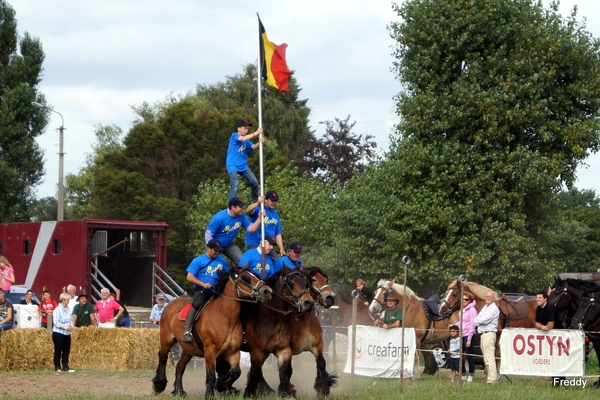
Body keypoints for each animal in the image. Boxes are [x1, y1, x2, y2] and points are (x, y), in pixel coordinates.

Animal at [152, 266, 272, 400]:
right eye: (246, 278)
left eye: (256, 275)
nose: (267, 291)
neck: (224, 316)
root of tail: (170, 304)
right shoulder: (210, 351)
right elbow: (210, 375)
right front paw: (210, 393)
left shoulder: (233, 351)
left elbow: (236, 372)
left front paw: (221, 385)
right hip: (167, 340)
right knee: (162, 358)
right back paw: (159, 385)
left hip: (189, 349)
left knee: (179, 367)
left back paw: (179, 391)